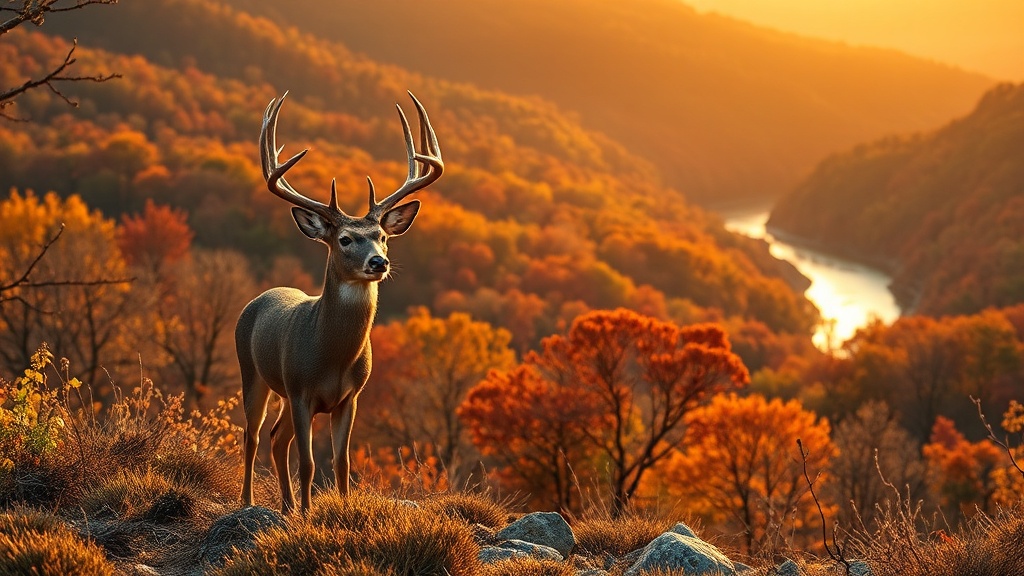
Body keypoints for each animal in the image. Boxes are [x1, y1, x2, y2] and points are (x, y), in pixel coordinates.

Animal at [236, 91, 443, 514]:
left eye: (383, 236)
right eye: (345, 239)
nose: (378, 263)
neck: (331, 356)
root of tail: (259, 297)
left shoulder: (350, 397)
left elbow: (341, 460)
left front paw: (341, 510)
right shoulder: (301, 391)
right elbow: (308, 462)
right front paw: (307, 515)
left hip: (281, 393)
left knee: (276, 438)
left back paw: (286, 505)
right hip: (253, 372)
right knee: (252, 435)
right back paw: (248, 501)